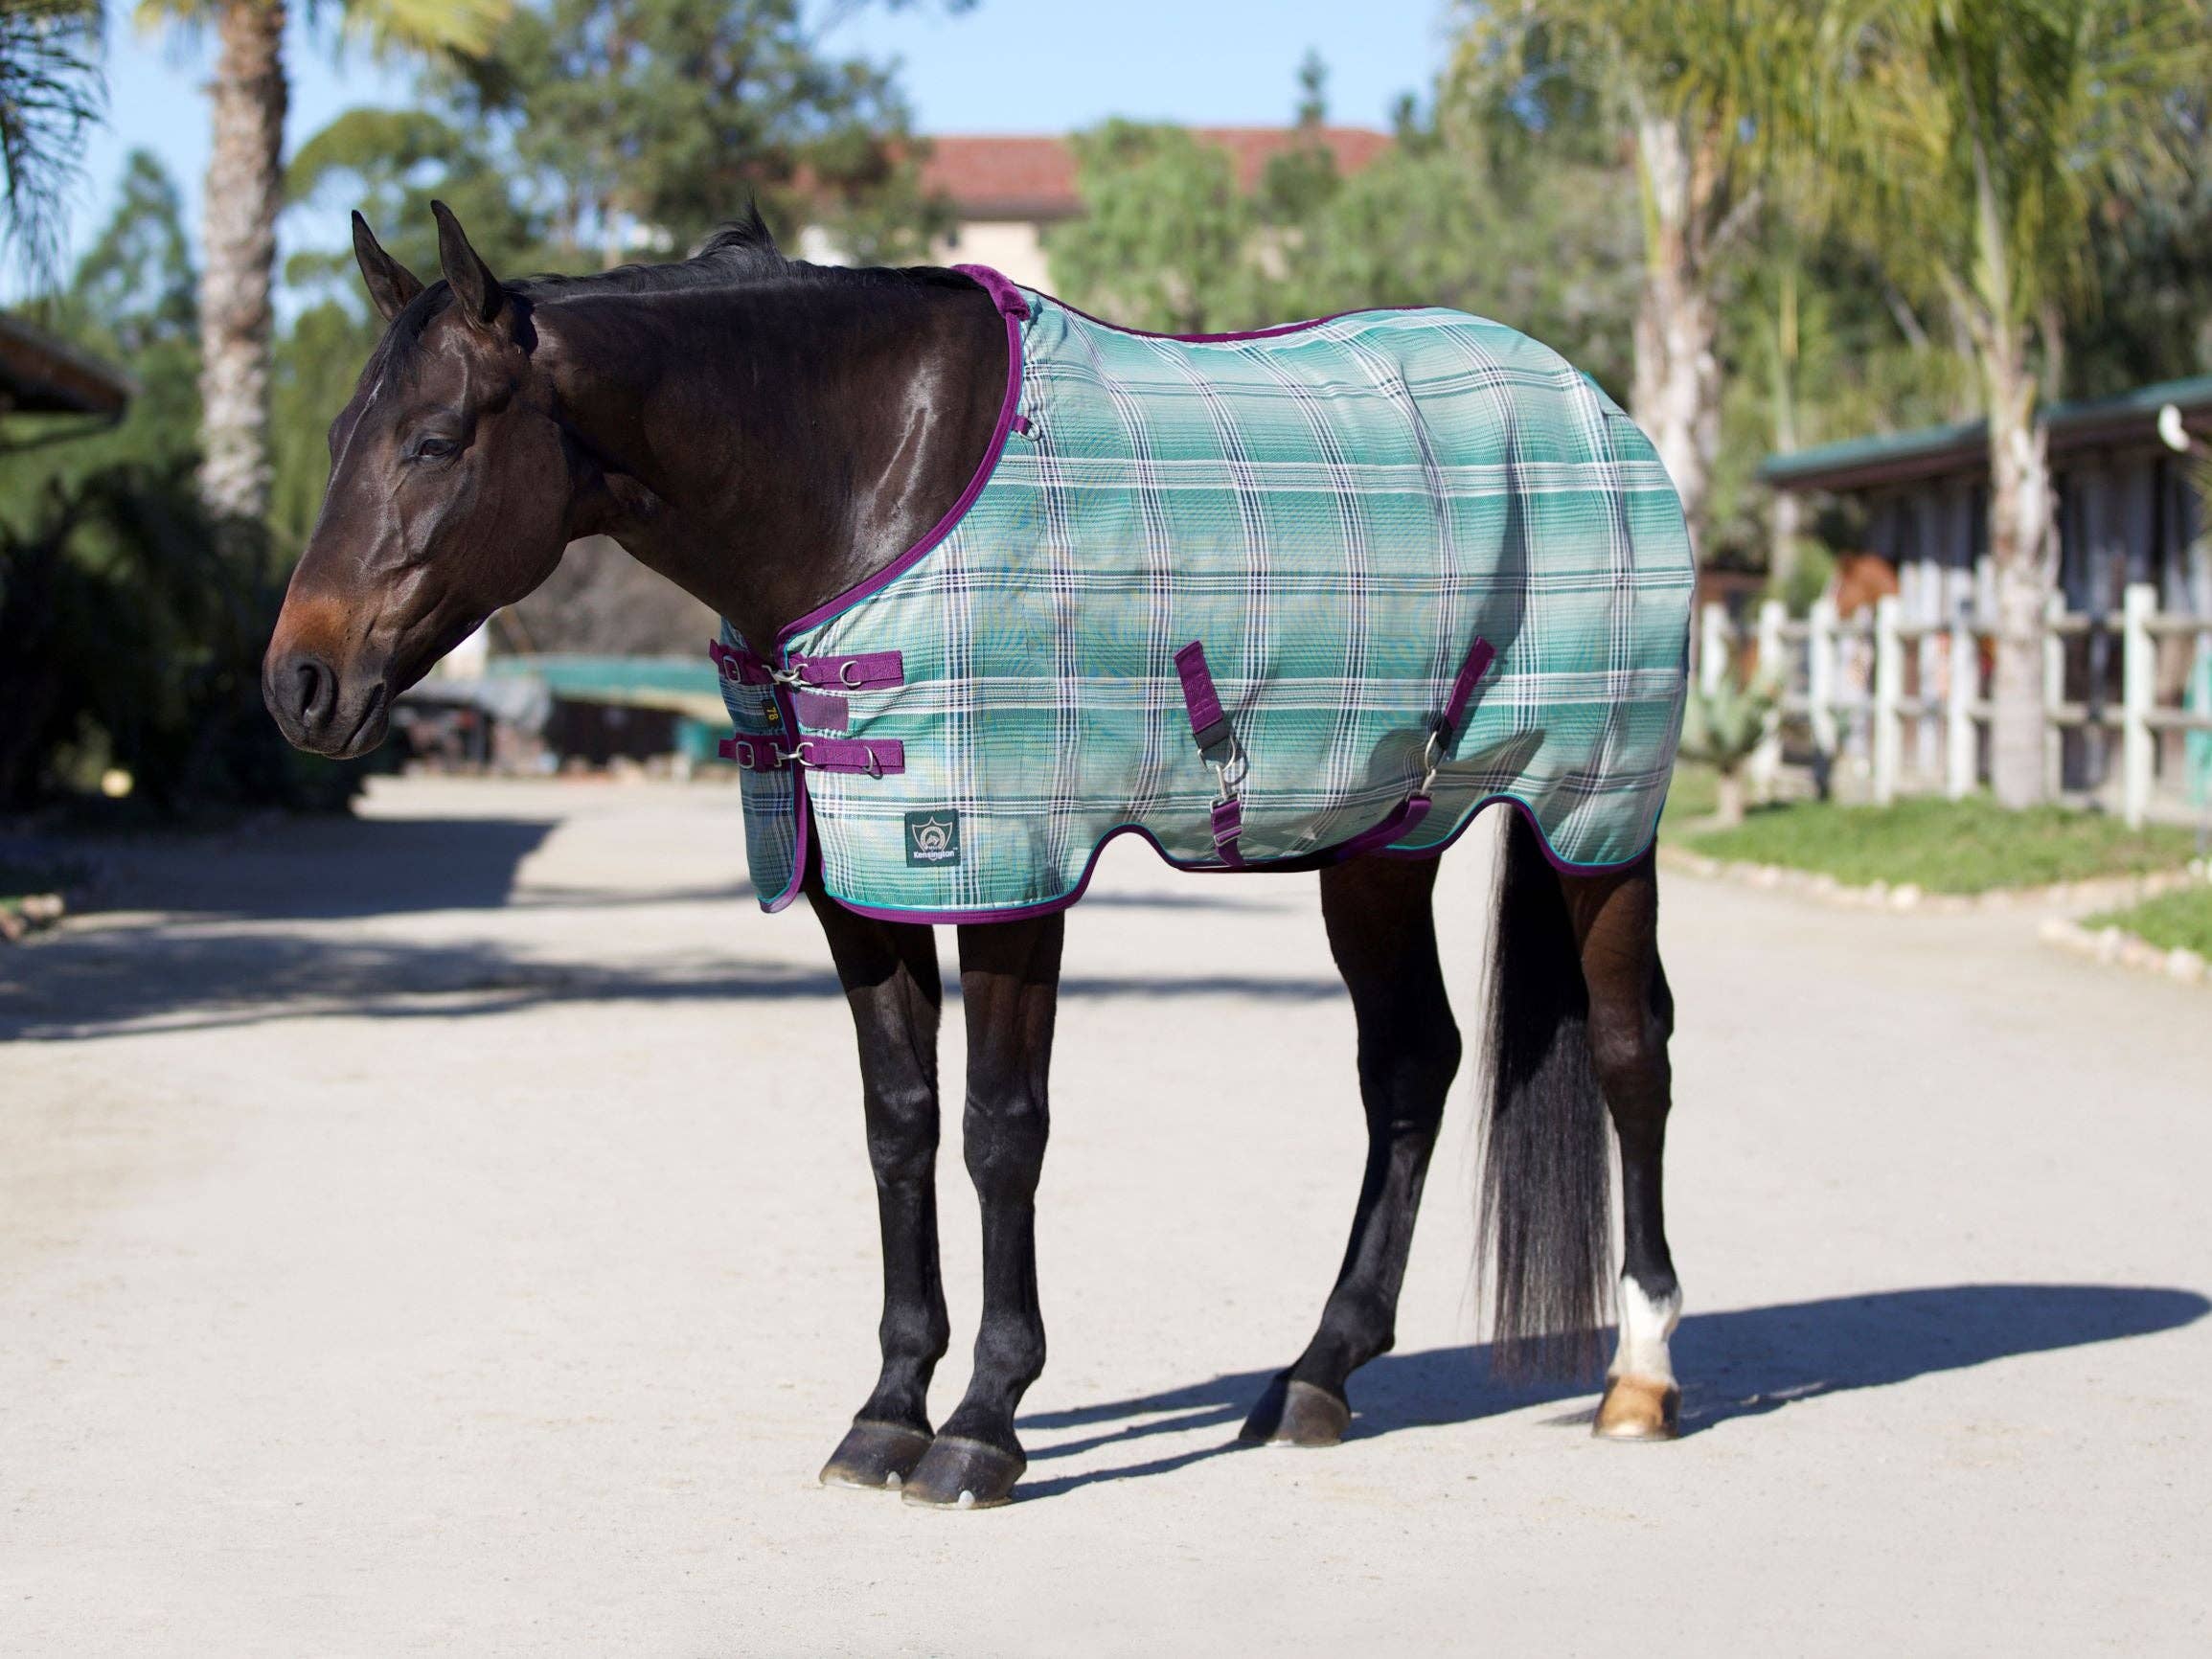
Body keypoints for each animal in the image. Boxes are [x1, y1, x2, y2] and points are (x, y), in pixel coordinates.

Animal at [264, 202, 1689, 1510]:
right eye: (337, 439)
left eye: (434, 440)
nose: (299, 684)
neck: (869, 477)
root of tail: (1601, 416)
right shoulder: (858, 885)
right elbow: (898, 1126)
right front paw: (888, 1407)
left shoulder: (1008, 872)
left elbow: (1002, 1132)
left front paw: (983, 1424)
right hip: (1379, 842)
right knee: (1409, 1066)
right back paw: (1315, 1377)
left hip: (1598, 823)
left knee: (1629, 1054)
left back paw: (1639, 1377)